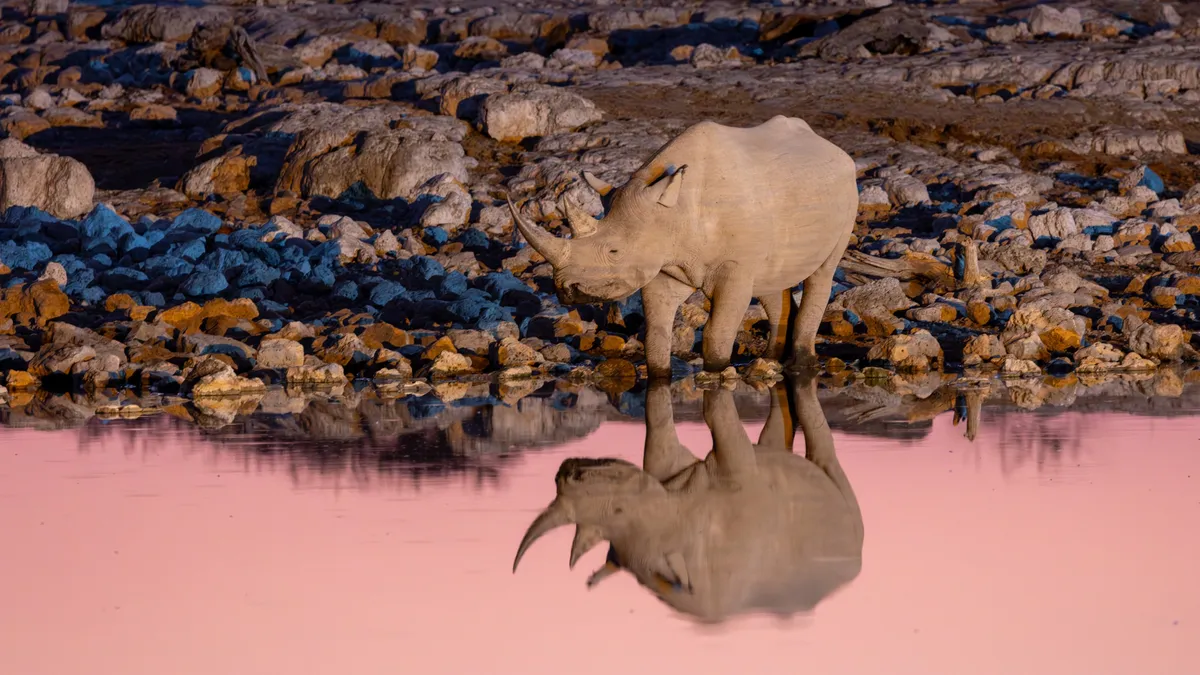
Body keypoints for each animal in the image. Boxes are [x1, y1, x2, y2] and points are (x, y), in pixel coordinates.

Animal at [507, 115, 859, 377]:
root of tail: (833, 148)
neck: (670, 212)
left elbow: (717, 334)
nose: (566, 290)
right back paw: (773, 361)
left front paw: (717, 371)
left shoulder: (734, 269)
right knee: (772, 281)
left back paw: (801, 364)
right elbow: (656, 333)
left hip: (848, 189)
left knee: (823, 272)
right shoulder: (662, 262)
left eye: (614, 251)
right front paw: (661, 373)